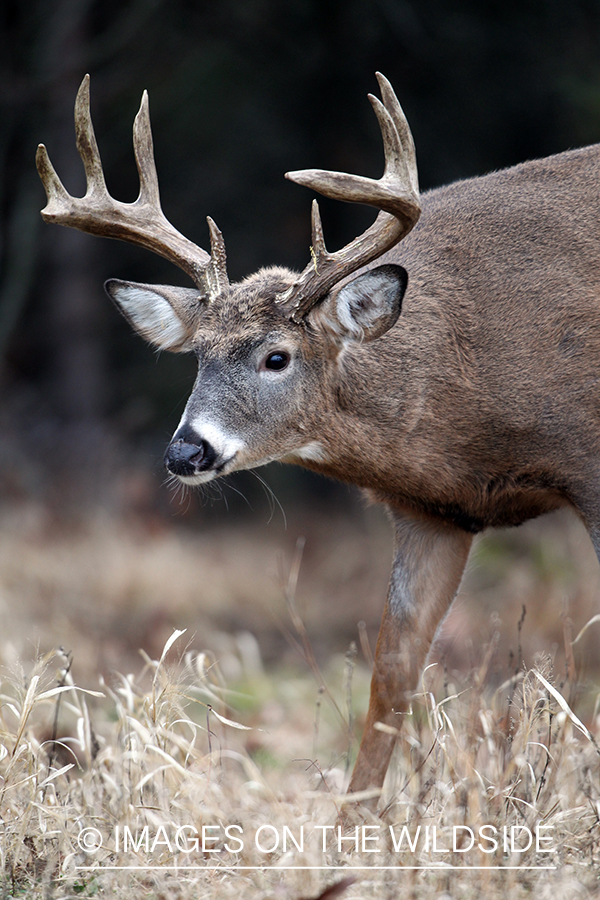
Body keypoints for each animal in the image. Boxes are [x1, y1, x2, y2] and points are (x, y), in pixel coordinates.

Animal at [36, 74, 600, 808]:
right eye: (198, 358)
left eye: (276, 357)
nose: (185, 453)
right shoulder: (435, 513)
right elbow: (392, 673)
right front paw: (352, 823)